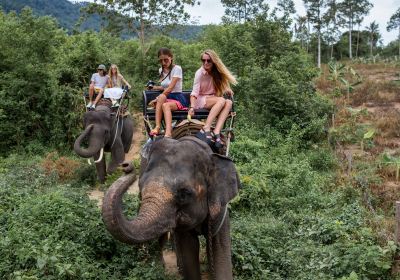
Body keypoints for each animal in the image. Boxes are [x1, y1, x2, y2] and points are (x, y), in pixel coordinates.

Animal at [103, 136, 239, 280]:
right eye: (140, 185)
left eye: (184, 193)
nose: (125, 165)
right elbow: (189, 247)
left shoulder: (220, 205)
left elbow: (220, 246)